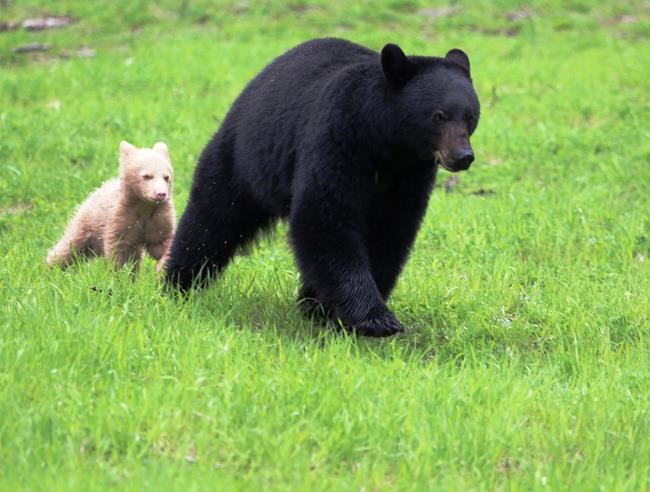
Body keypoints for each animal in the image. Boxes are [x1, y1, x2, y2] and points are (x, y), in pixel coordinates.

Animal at [47, 141, 176, 271]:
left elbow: (161, 243)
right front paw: (118, 273)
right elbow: (117, 249)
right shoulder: (121, 218)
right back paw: (49, 267)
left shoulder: (158, 219)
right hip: (86, 223)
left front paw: (162, 266)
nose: (161, 194)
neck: (144, 206)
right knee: (69, 247)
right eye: (147, 176)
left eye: (166, 177)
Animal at [164, 38, 480, 337]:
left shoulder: (411, 175)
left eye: (470, 116)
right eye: (438, 116)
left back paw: (310, 302)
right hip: (245, 158)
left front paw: (336, 308)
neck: (388, 146)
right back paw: (178, 283)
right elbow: (324, 216)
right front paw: (373, 318)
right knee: (212, 218)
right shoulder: (338, 139)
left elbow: (390, 230)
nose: (463, 156)